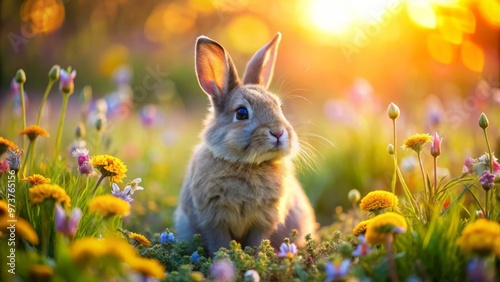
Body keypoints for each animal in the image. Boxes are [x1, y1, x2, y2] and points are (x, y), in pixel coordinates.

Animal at [175, 32, 316, 254]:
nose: (278, 132)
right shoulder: (213, 220)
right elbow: (220, 242)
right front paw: (226, 258)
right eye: (241, 113)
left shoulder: (263, 221)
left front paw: (255, 257)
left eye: (279, 108)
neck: (246, 164)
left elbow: (257, 242)